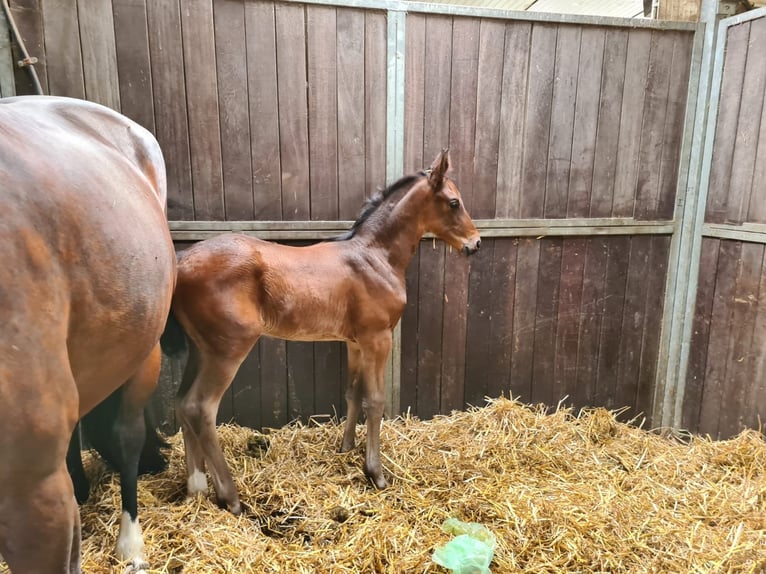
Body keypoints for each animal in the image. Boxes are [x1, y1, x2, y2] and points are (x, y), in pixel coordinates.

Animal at [164, 151, 480, 516]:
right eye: (454, 202)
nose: (475, 243)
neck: (375, 257)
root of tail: (181, 260)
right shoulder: (378, 339)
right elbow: (375, 401)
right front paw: (375, 473)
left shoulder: (355, 343)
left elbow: (352, 393)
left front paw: (346, 447)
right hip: (227, 350)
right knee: (200, 408)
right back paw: (230, 496)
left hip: (201, 349)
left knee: (181, 403)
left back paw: (196, 487)